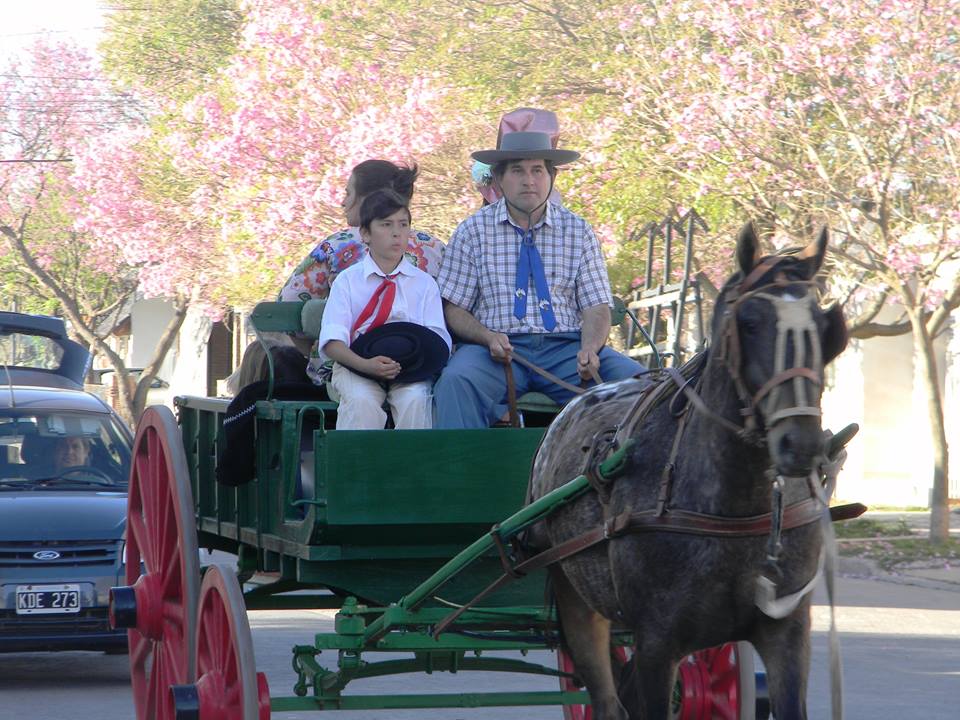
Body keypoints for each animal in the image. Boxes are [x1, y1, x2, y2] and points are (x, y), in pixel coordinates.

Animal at [528, 225, 852, 720]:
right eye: (750, 323)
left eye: (823, 325)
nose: (801, 444)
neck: (736, 501)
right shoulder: (656, 643)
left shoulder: (787, 631)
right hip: (574, 597)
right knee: (604, 698)